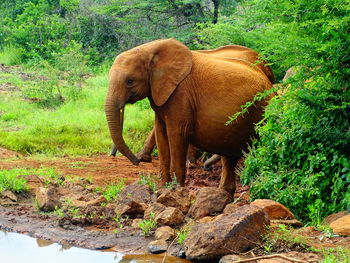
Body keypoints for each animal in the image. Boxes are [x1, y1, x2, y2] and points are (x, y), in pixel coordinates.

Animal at [105, 38, 272, 193]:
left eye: (130, 81)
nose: (136, 162)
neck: (150, 49)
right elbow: (161, 133)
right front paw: (164, 188)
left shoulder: (181, 93)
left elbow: (177, 133)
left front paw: (176, 190)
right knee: (229, 157)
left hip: (262, 112)